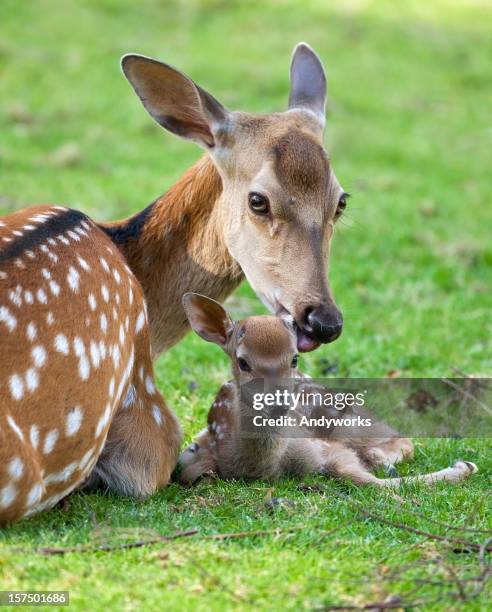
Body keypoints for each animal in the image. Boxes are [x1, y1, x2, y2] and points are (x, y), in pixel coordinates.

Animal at [179, 294, 478, 490]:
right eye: (243, 362)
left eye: (294, 358)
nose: (278, 403)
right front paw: (463, 468)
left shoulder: (323, 447)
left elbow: (366, 481)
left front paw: (464, 467)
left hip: (345, 418)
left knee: (401, 439)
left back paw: (381, 457)